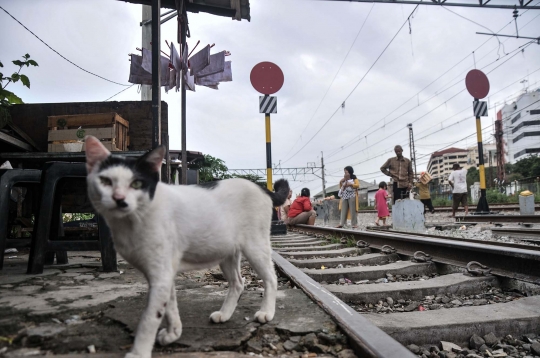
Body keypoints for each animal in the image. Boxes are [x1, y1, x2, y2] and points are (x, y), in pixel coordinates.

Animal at [85, 136, 292, 358]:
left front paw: (139, 352)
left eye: (137, 183)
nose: (119, 199)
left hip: (255, 245)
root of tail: (261, 188)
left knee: (271, 278)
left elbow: (149, 318)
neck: (131, 220)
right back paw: (225, 314)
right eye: (105, 181)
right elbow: (169, 307)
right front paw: (173, 333)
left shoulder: (160, 275)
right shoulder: (165, 273)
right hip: (226, 251)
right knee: (238, 282)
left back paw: (266, 312)